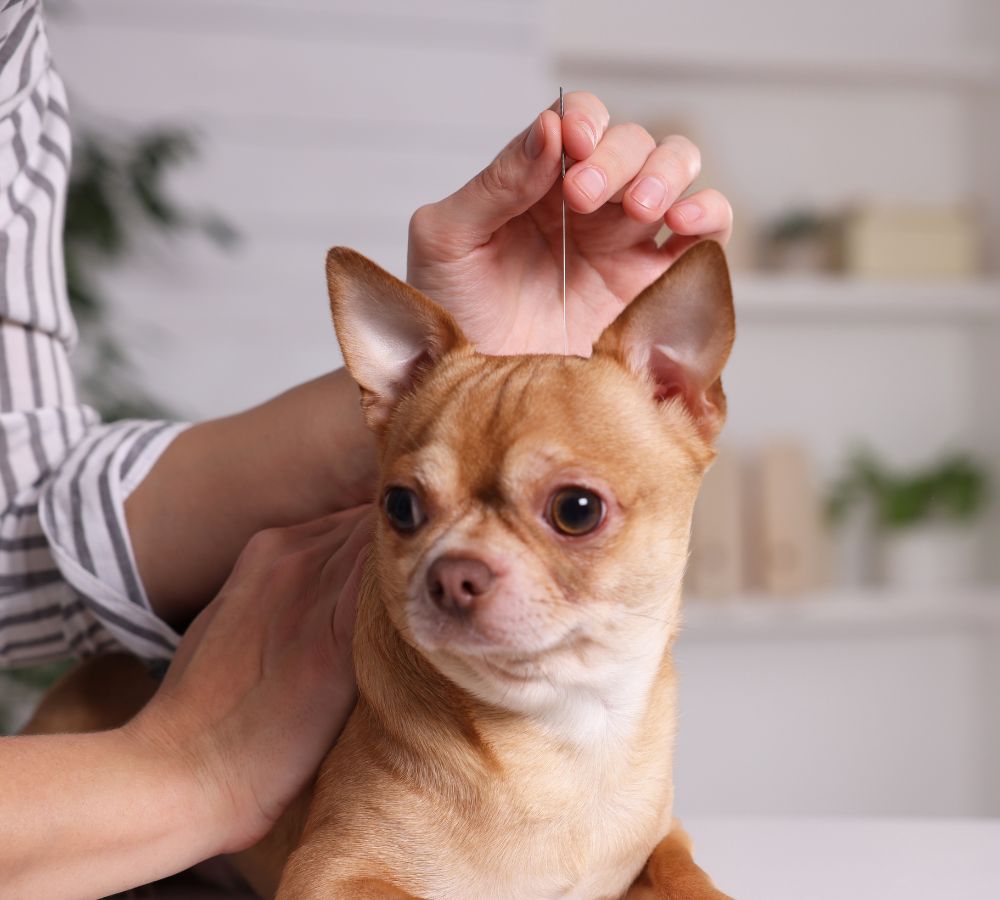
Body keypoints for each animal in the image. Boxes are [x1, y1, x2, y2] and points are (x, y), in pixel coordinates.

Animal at [25, 241, 736, 900]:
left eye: (577, 510)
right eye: (400, 507)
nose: (452, 574)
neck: (560, 735)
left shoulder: (663, 839)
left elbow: (686, 876)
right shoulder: (331, 873)